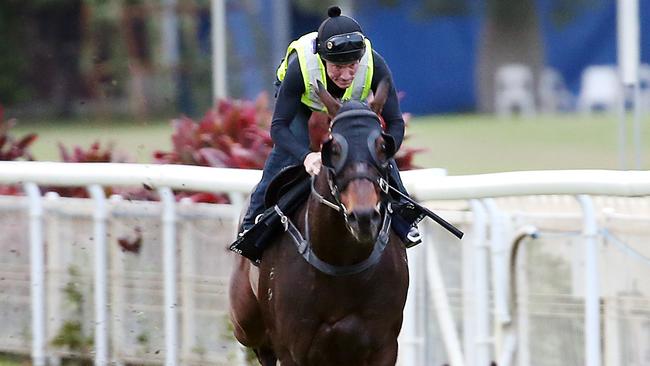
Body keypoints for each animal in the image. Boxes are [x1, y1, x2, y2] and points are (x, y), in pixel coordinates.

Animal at [228, 81, 408, 364]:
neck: (341, 262)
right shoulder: (293, 347)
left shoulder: (384, 345)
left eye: (382, 146)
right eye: (333, 149)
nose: (363, 216)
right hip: (245, 322)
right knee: (259, 345)